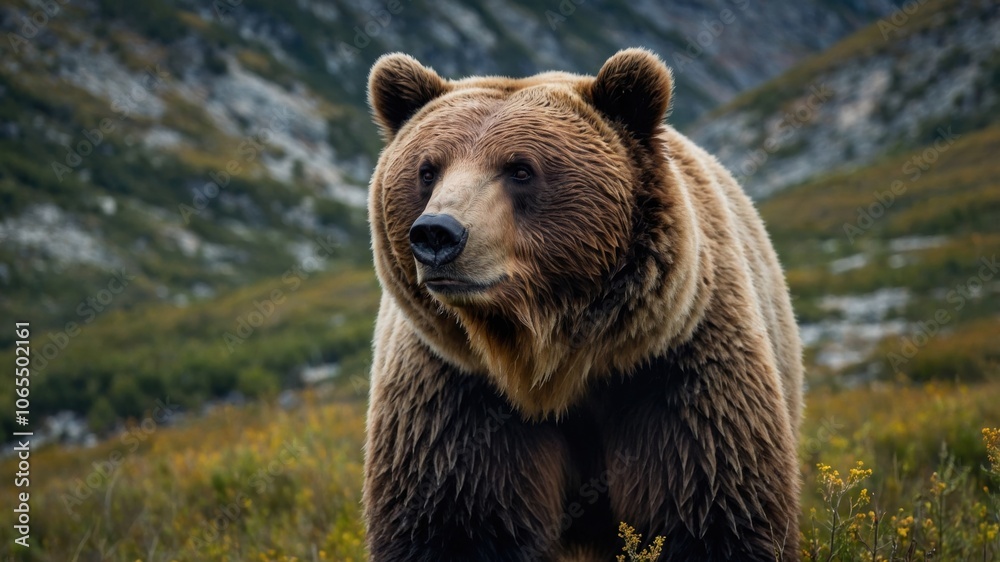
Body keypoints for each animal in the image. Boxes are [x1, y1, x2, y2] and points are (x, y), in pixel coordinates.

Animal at [363, 48, 803, 562]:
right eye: (427, 169)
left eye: (520, 169)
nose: (437, 234)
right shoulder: (456, 393)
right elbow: (452, 522)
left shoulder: (676, 375)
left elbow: (711, 510)